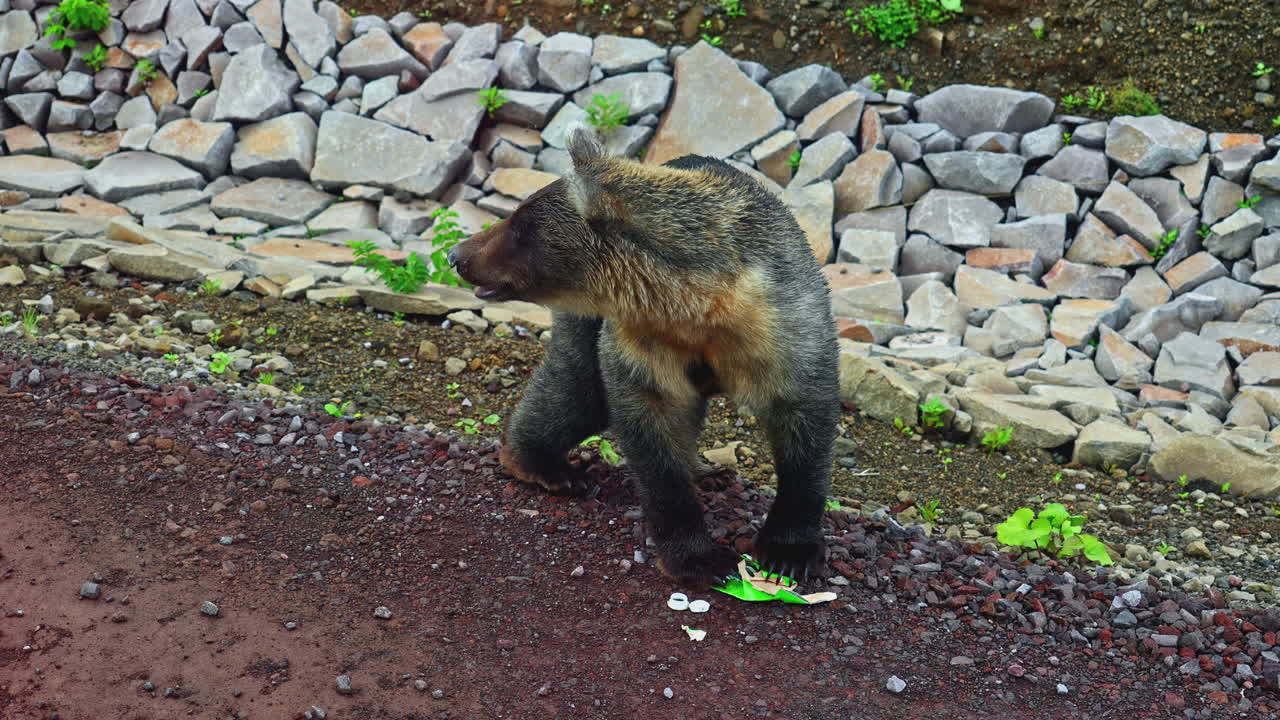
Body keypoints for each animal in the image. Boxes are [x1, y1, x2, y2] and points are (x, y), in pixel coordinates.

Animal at [446, 127, 841, 588]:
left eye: (520, 225)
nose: (457, 255)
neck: (697, 308)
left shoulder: (783, 328)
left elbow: (804, 426)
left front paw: (787, 553)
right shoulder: (642, 341)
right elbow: (651, 432)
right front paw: (700, 558)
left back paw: (707, 472)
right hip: (586, 326)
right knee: (578, 392)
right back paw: (547, 467)